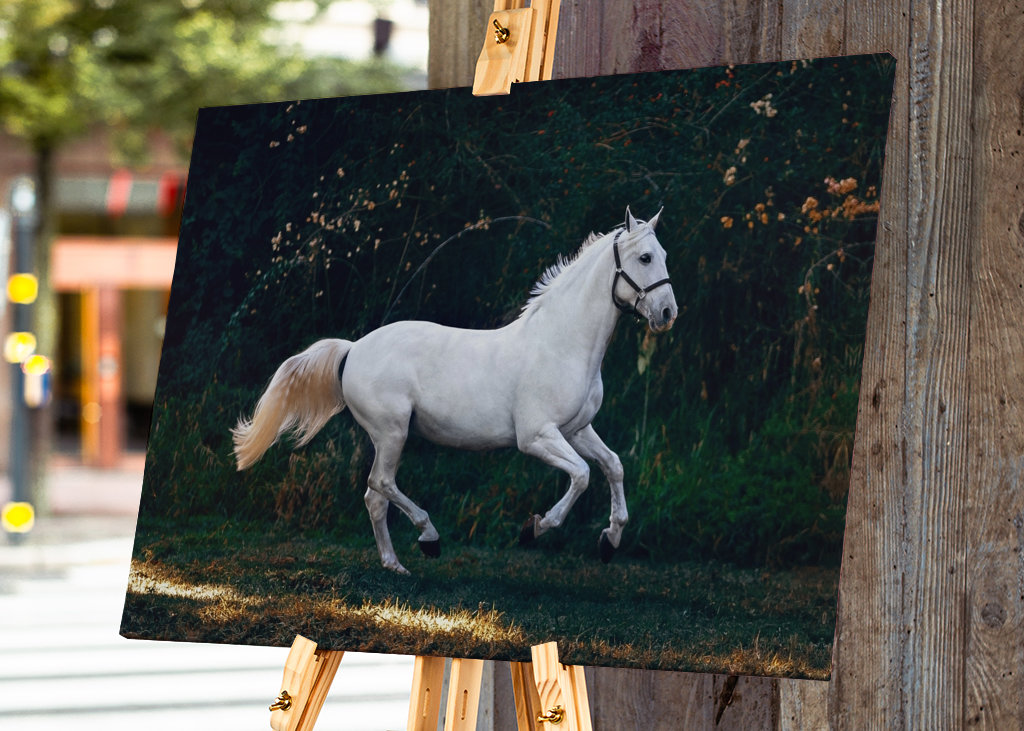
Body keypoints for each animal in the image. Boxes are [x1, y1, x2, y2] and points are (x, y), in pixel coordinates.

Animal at [231, 207, 678, 574]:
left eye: (664, 255)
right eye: (644, 258)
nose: (667, 313)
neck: (561, 344)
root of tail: (353, 349)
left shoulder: (577, 430)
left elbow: (613, 466)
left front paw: (610, 541)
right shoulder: (537, 437)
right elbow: (583, 476)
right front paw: (533, 529)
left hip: (389, 437)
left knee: (374, 497)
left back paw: (395, 565)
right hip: (392, 432)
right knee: (381, 484)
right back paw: (429, 539)